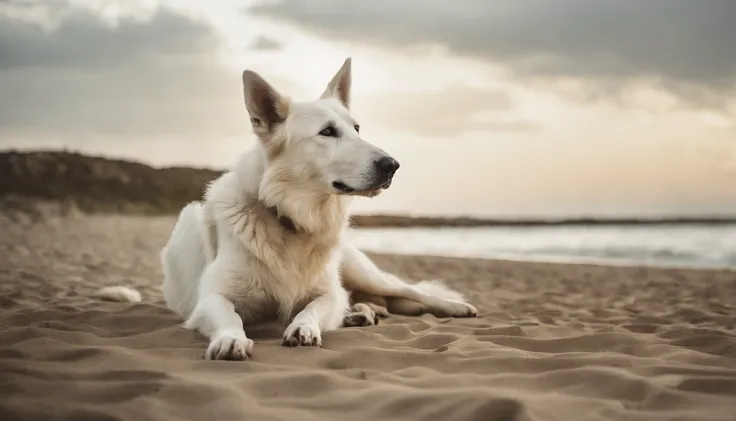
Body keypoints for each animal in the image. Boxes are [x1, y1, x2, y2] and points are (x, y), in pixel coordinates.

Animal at [160, 57, 478, 360]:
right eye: (327, 132)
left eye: (357, 129)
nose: (392, 166)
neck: (292, 218)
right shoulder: (211, 298)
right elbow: (230, 317)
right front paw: (231, 339)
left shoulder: (329, 293)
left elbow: (312, 307)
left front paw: (303, 327)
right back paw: (360, 314)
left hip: (363, 273)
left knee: (408, 291)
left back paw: (454, 306)